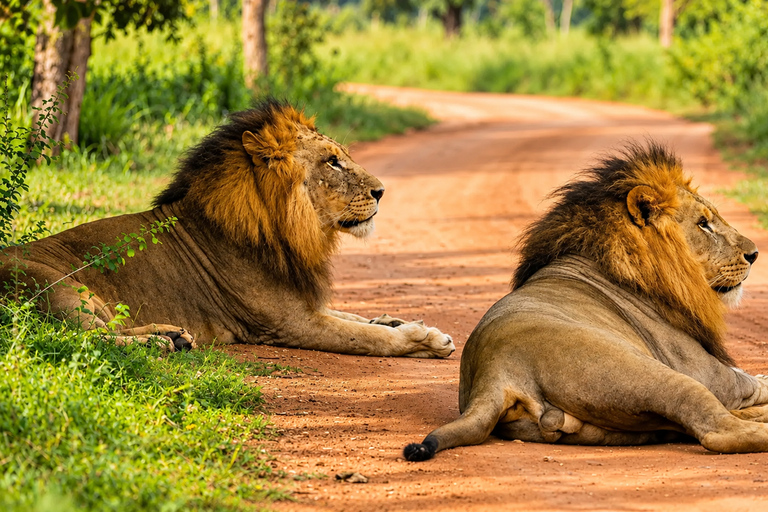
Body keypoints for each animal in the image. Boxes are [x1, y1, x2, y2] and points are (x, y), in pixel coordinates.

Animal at [1, 99, 454, 358]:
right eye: (332, 162)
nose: (381, 191)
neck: (286, 228)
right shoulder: (290, 323)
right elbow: (369, 338)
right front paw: (424, 339)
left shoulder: (305, 305)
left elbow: (358, 317)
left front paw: (392, 319)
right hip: (59, 288)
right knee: (80, 338)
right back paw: (157, 343)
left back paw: (173, 336)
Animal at [404, 141, 768, 461]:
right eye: (704, 224)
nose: (754, 254)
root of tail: (492, 372)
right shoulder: (710, 374)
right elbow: (749, 381)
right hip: (655, 375)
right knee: (716, 429)